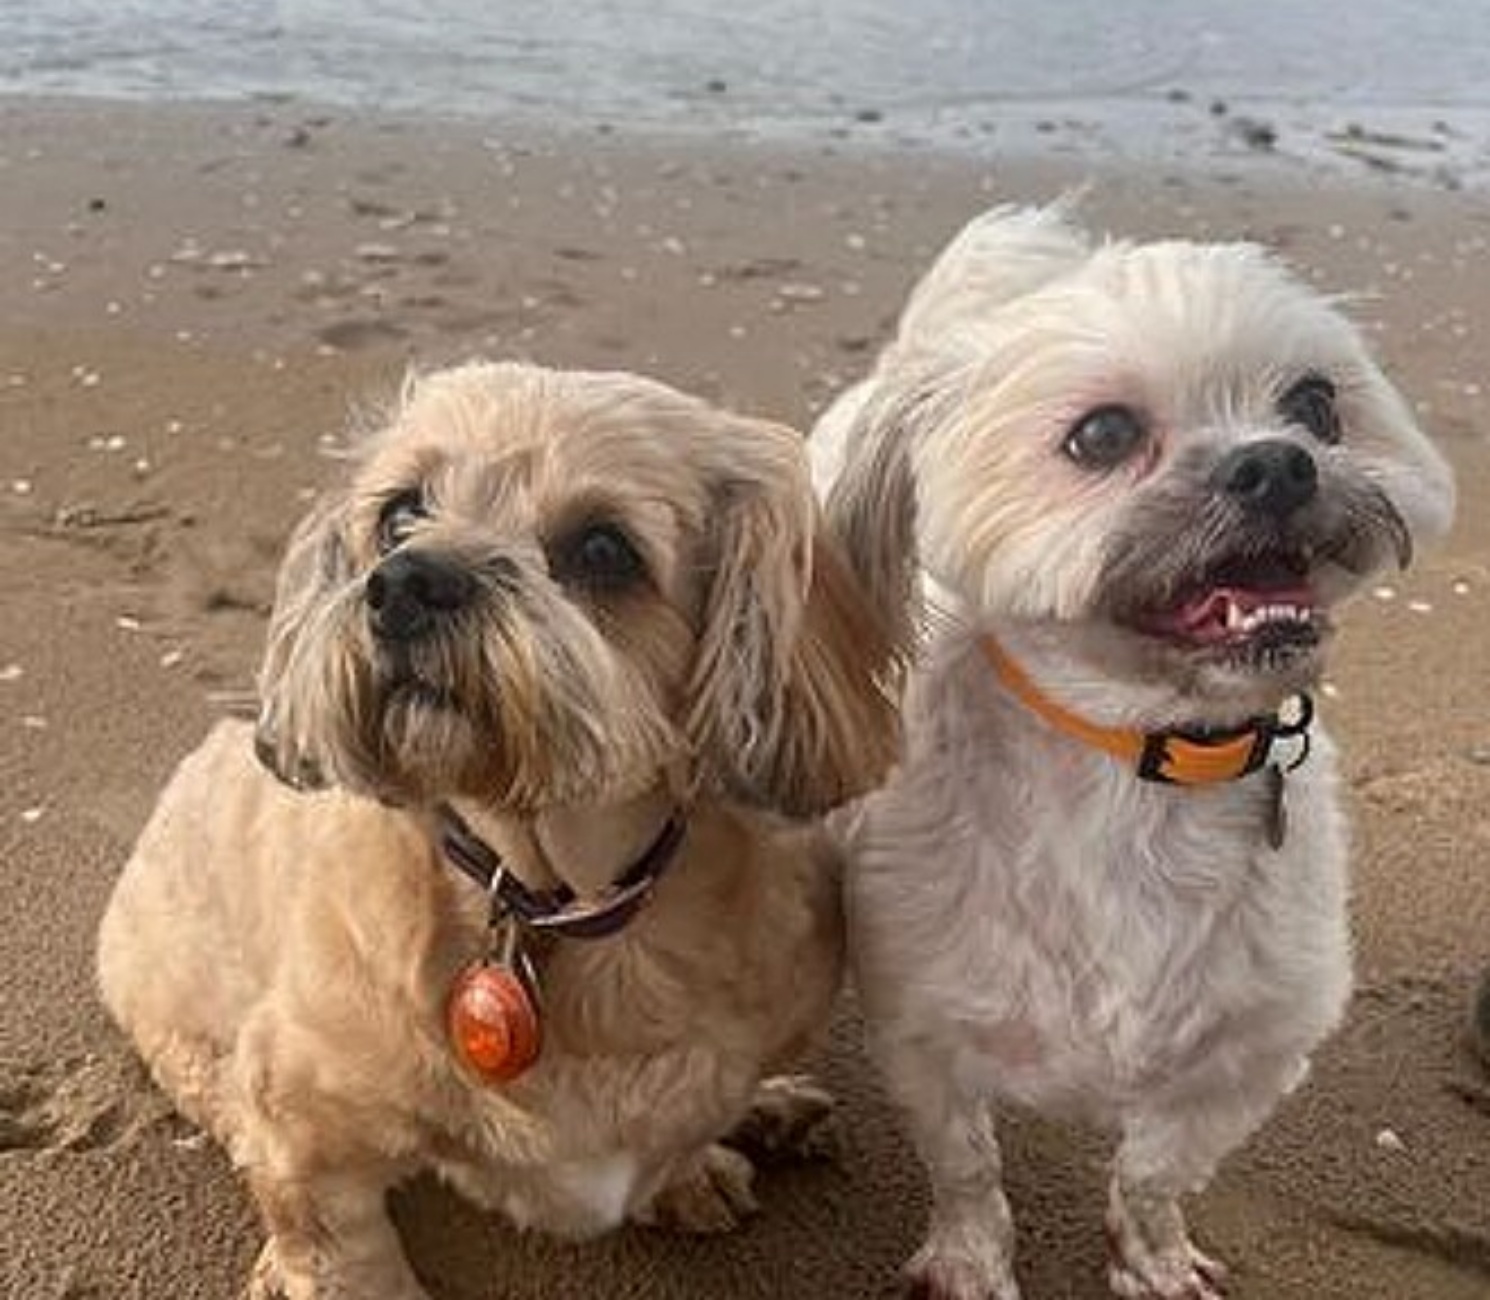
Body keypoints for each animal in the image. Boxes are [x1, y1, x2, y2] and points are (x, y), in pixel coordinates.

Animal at [105, 357, 899, 1300]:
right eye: (399, 512)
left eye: (603, 549)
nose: (405, 582)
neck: (552, 893)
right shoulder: (306, 1124)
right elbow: (333, 1234)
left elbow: (686, 1126)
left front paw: (697, 1160)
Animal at [816, 205, 1454, 1300]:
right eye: (1103, 434)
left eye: (1316, 405)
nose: (1275, 462)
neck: (1138, 761)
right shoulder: (921, 1030)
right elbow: (966, 1166)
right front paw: (970, 1260)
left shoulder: (1244, 1055)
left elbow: (1156, 1170)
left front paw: (1148, 1255)